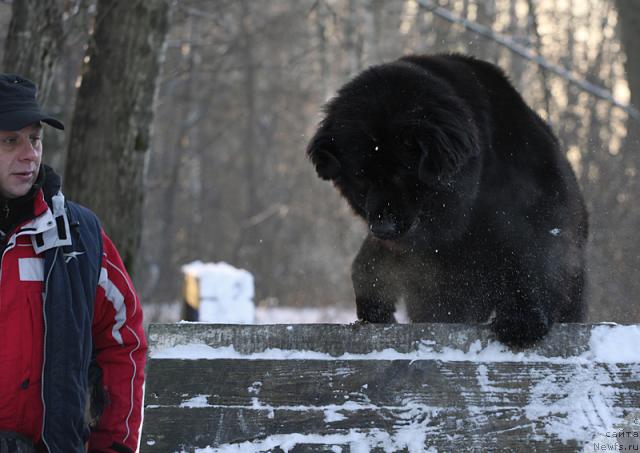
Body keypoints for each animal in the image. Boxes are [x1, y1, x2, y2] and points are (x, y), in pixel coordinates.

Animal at [308, 53, 588, 346]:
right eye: (361, 179)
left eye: (402, 174)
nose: (382, 227)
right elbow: (370, 264)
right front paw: (374, 307)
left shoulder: (531, 203)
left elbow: (535, 251)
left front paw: (521, 322)